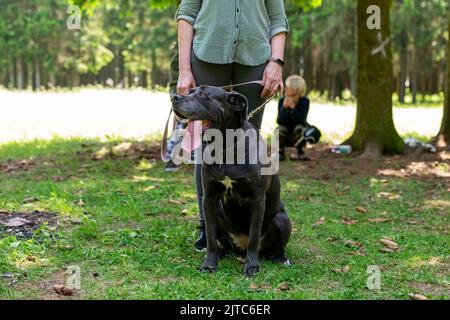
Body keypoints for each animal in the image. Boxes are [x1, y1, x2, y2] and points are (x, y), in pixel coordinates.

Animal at [172, 85, 292, 278]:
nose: (175, 97)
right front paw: (209, 264)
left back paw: (281, 258)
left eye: (203, 94)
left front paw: (252, 266)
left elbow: (254, 237)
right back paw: (222, 252)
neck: (224, 147)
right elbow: (211, 237)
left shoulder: (257, 199)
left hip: (282, 219)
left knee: (274, 246)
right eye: (190, 91)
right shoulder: (209, 198)